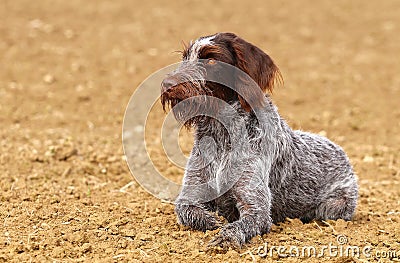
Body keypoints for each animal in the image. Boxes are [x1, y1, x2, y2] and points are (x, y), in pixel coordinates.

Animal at [159, 32, 360, 251]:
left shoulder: (256, 209)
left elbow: (239, 224)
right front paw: (214, 221)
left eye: (211, 59)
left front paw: (225, 237)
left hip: (336, 205)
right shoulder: (191, 195)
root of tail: (342, 152)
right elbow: (187, 210)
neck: (222, 134)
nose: (167, 84)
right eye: (185, 58)